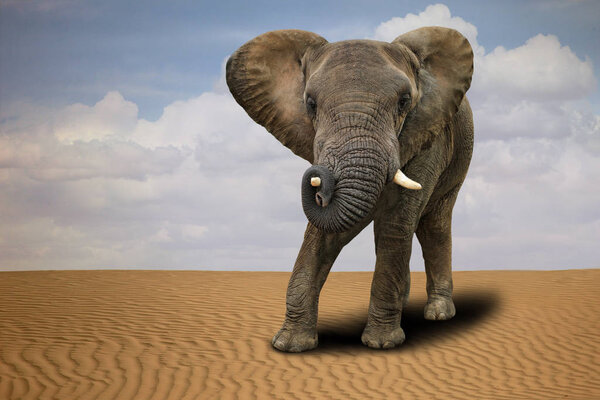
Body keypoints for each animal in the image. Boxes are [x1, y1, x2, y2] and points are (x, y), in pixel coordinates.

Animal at [225, 26, 474, 352]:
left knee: (434, 225)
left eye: (404, 102)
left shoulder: (428, 135)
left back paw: (439, 313)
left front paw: (382, 344)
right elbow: (325, 230)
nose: (315, 175)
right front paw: (289, 344)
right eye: (310, 104)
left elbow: (396, 222)